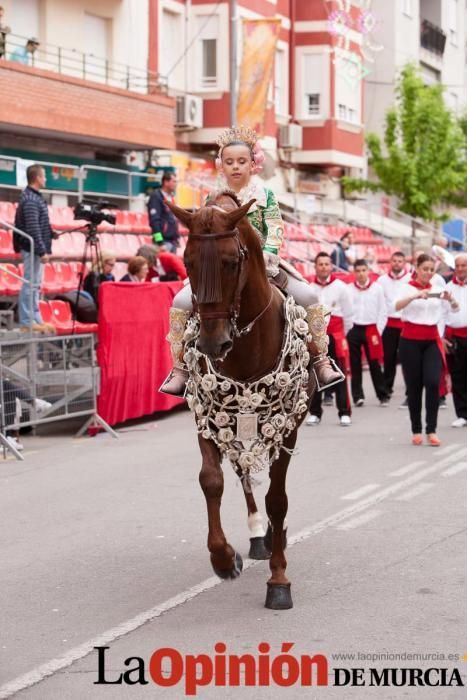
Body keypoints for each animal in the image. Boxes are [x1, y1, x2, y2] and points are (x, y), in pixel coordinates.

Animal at [170, 191, 316, 608]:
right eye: (186, 261)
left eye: (231, 262)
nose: (212, 343)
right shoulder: (206, 417)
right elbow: (211, 480)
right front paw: (223, 558)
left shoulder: (288, 427)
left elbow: (278, 499)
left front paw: (279, 581)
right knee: (242, 472)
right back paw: (256, 535)